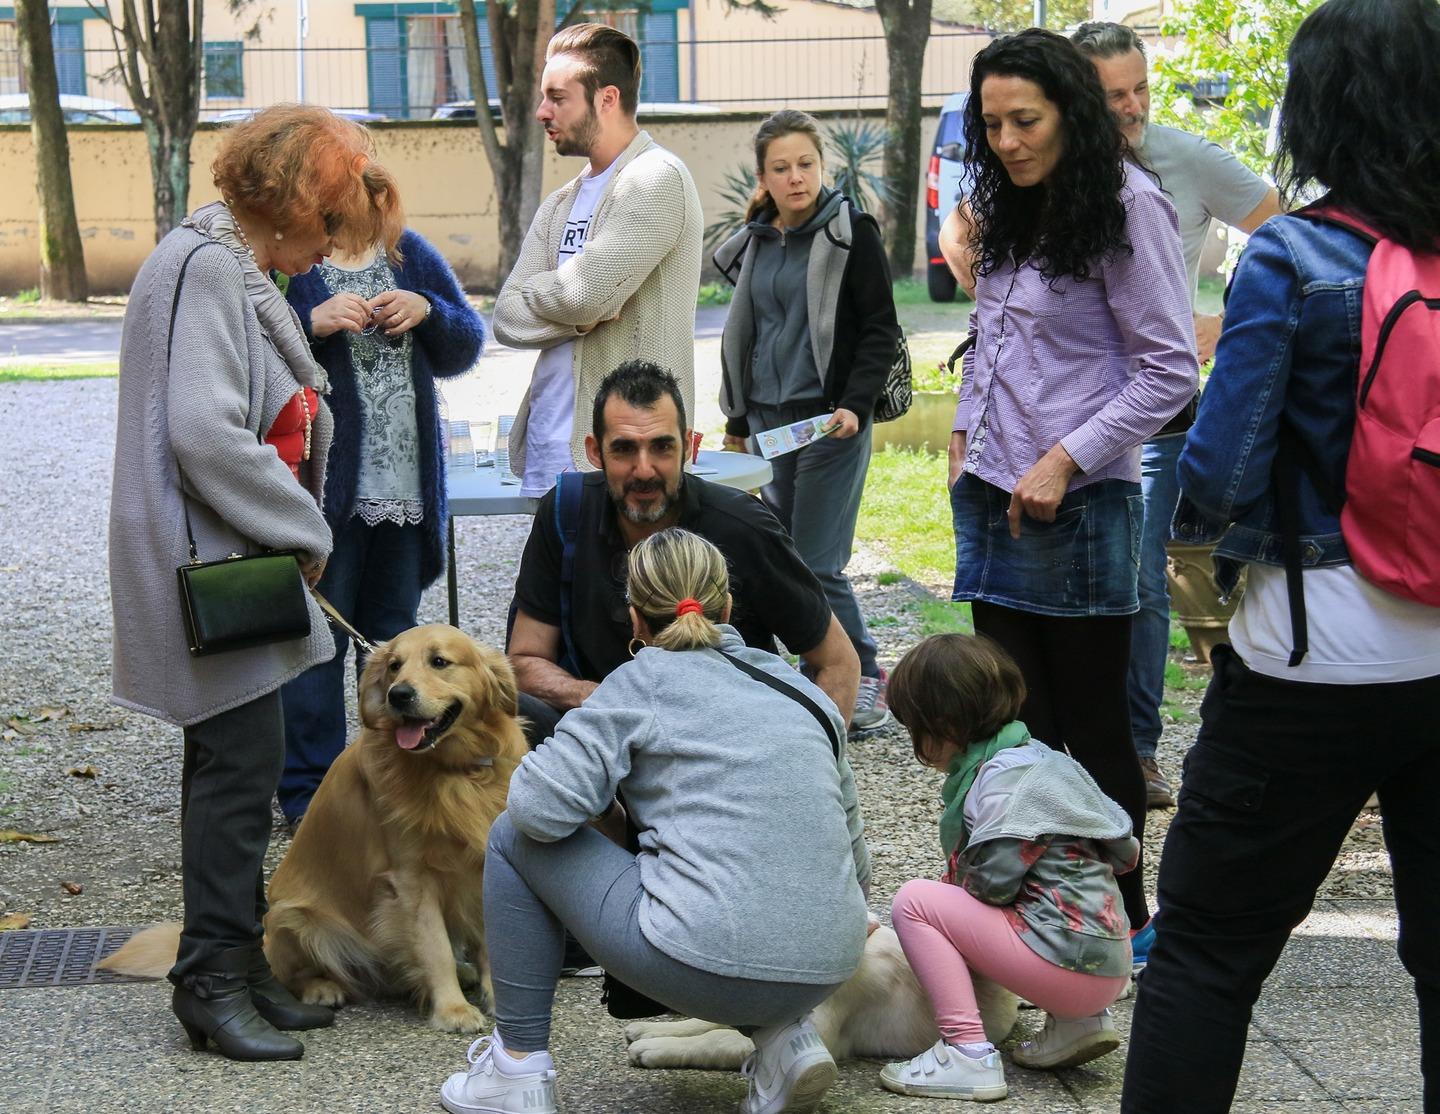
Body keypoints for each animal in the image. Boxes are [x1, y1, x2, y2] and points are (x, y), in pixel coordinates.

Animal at [101, 627, 529, 1036]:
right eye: (394, 666)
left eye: (439, 661)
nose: (399, 694)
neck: (454, 772)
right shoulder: (412, 880)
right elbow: (435, 947)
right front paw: (453, 1010)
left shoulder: (483, 863)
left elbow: (495, 941)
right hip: (297, 918)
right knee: (292, 974)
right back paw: (322, 988)